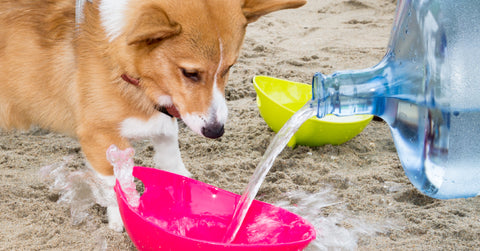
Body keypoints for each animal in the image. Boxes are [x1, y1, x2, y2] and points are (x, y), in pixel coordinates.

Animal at [0, 0, 306, 231]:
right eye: (190, 73)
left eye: (229, 67)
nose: (216, 131)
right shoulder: (99, 137)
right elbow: (118, 185)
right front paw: (123, 220)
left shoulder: (164, 129)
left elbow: (176, 171)